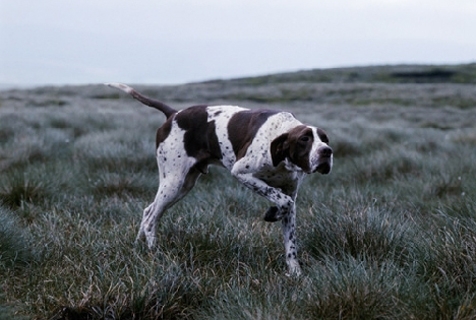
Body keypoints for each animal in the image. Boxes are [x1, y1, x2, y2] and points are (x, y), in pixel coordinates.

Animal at [106, 83, 332, 276]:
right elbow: (282, 201)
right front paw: (271, 213)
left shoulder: (290, 193)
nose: (327, 152)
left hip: (183, 185)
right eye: (304, 139)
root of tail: (173, 114)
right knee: (151, 219)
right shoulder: (241, 172)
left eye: (325, 139)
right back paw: (155, 254)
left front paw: (295, 274)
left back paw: (138, 246)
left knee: (148, 211)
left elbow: (290, 239)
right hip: (173, 182)